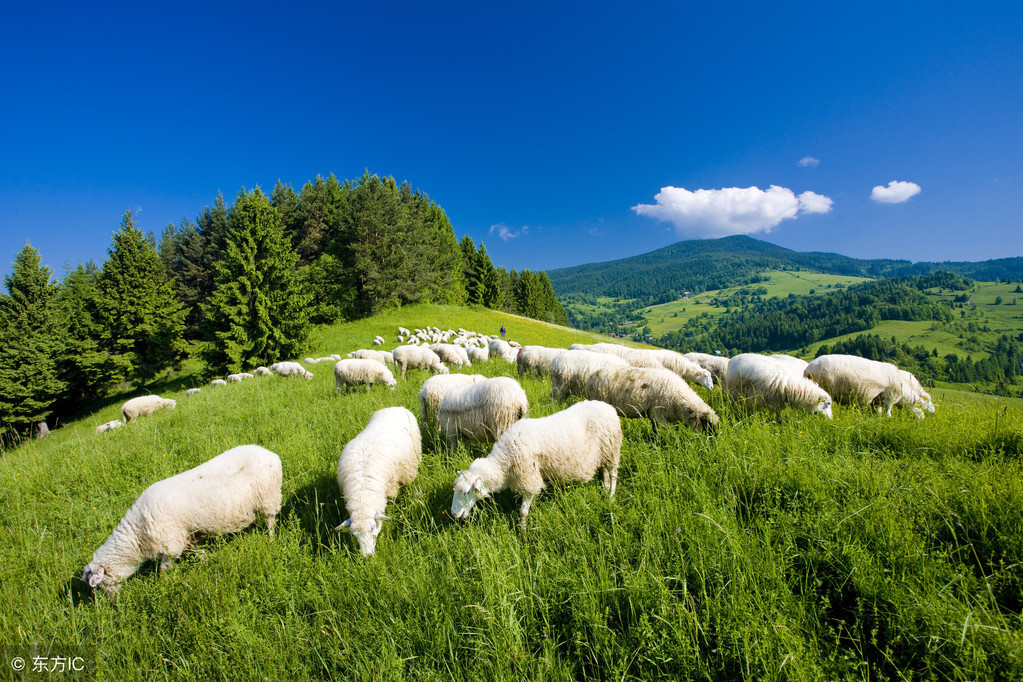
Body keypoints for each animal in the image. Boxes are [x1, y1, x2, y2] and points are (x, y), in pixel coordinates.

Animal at [80, 443, 284, 597]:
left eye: (100, 585)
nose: (112, 603)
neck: (137, 536)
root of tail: (270, 453)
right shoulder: (185, 537)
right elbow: (197, 552)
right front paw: (206, 561)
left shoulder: (171, 545)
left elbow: (163, 569)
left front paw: (165, 584)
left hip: (268, 496)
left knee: (270, 520)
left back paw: (270, 539)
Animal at [454, 400, 621, 527]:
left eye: (467, 492)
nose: (454, 514)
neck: (505, 460)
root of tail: (608, 407)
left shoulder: (528, 477)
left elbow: (523, 511)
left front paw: (523, 532)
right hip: (603, 453)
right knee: (605, 471)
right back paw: (605, 487)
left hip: (612, 450)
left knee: (613, 474)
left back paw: (611, 496)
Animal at [802, 355, 937, 419]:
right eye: (928, 401)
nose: (933, 413)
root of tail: (808, 369)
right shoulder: (889, 397)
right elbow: (888, 411)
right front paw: (889, 419)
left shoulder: (877, 399)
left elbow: (878, 411)